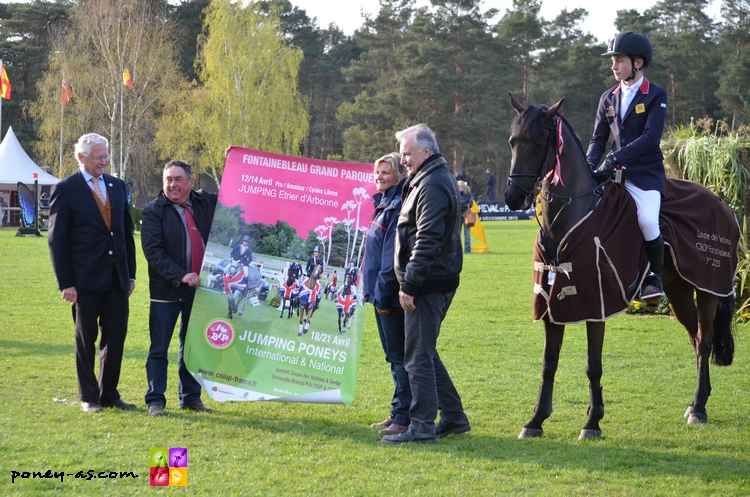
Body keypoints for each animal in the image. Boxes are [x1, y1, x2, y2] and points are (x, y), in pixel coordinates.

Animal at [506, 95, 740, 440]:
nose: (512, 198)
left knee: (706, 340)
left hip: (708, 287)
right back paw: (696, 403)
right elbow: (549, 362)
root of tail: (721, 202)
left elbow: (593, 364)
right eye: (512, 141)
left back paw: (699, 408)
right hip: (679, 290)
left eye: (537, 144)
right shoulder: (552, 303)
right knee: (697, 339)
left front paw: (592, 423)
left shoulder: (595, 303)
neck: (570, 219)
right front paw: (535, 421)